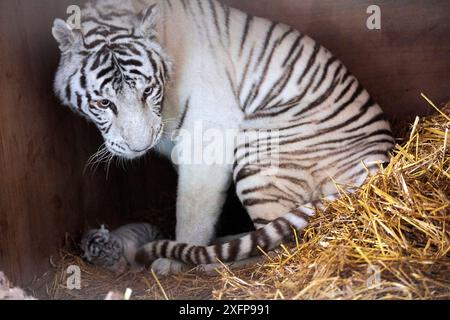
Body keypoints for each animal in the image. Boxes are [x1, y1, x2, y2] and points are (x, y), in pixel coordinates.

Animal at [51, 0, 392, 276]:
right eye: (103, 103)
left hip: (260, 153)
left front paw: (174, 260)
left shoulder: (207, 136)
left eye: (147, 91)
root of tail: (381, 160)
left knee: (283, 246)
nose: (141, 146)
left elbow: (191, 207)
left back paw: (212, 264)